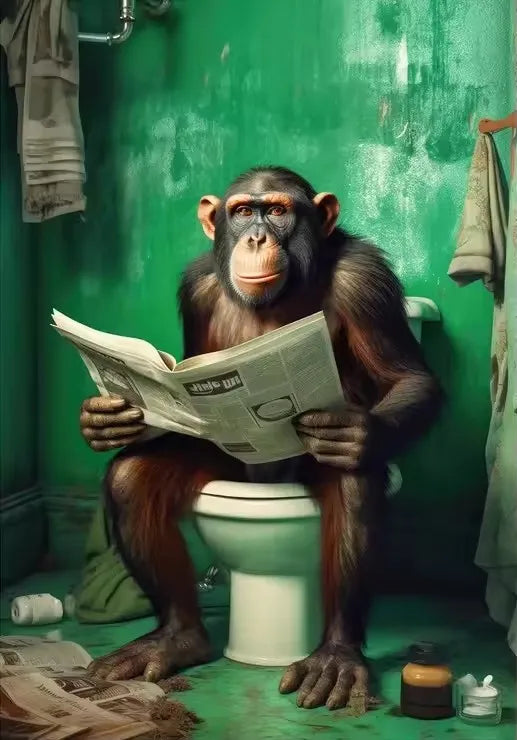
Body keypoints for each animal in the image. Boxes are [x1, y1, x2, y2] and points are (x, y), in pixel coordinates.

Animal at [81, 166, 443, 711]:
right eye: (242, 211)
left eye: (276, 210)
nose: (255, 237)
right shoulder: (196, 288)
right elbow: (183, 375)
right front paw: (109, 418)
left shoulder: (366, 281)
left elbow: (408, 377)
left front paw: (358, 431)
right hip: (226, 474)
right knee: (130, 480)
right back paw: (176, 638)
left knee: (353, 480)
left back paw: (336, 656)